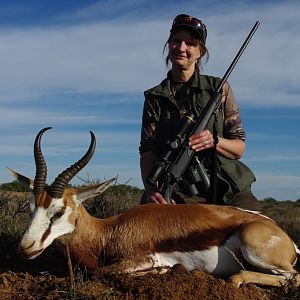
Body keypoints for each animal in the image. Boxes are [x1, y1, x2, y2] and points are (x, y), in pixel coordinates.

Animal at [9, 127, 300, 288]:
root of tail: (286, 238)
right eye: (31, 208)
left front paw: (162, 272)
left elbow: (104, 272)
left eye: (58, 211)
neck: (109, 231)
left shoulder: (145, 258)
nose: (25, 248)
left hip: (255, 249)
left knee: (291, 277)